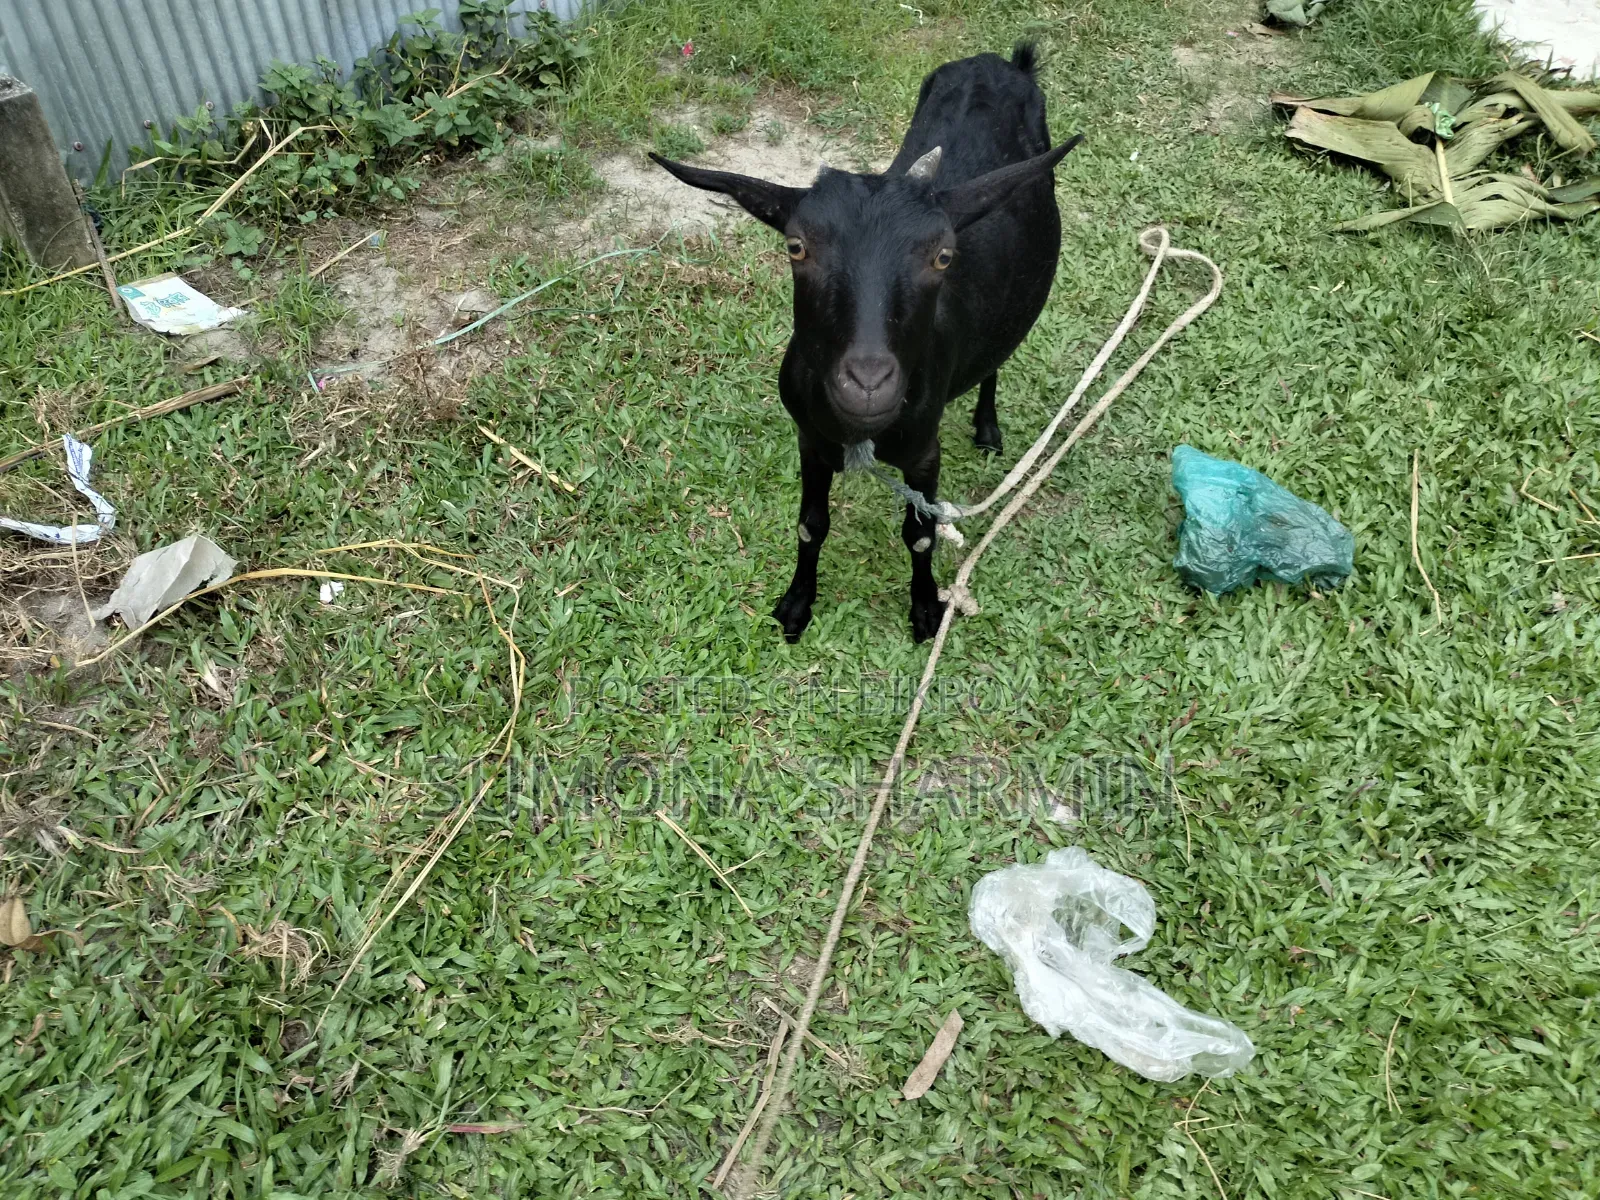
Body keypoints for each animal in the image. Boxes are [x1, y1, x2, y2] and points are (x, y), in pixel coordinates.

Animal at [652, 44, 1080, 642]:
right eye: (796, 246)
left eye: (943, 255)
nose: (868, 384)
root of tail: (999, 62)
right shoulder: (809, 439)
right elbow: (810, 525)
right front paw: (796, 605)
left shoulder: (924, 452)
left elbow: (920, 535)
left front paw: (925, 611)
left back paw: (987, 427)